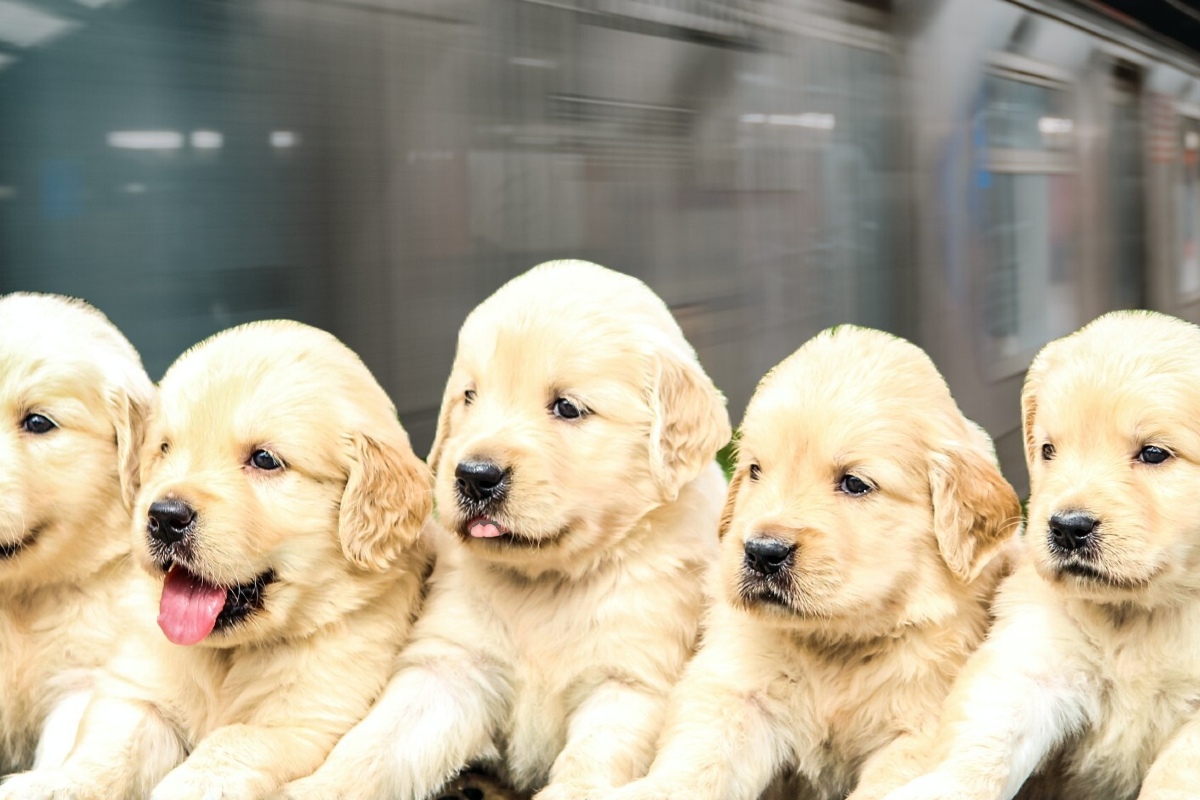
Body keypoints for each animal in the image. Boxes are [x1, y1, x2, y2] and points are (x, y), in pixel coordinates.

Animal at [282, 261, 729, 800]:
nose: (475, 476)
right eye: (469, 397)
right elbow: (374, 746)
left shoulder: (630, 683)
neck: (549, 583)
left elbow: (587, 766)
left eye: (567, 407)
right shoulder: (449, 665)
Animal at [604, 323, 1017, 800]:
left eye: (854, 483)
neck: (835, 646)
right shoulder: (737, 694)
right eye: (755, 471)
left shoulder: (918, 730)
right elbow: (696, 762)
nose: (762, 552)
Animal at [883, 311, 1200, 800]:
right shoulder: (1036, 655)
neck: (1138, 616)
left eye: (1153, 453)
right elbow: (985, 741)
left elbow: (1177, 774)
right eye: (1049, 449)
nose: (1067, 528)